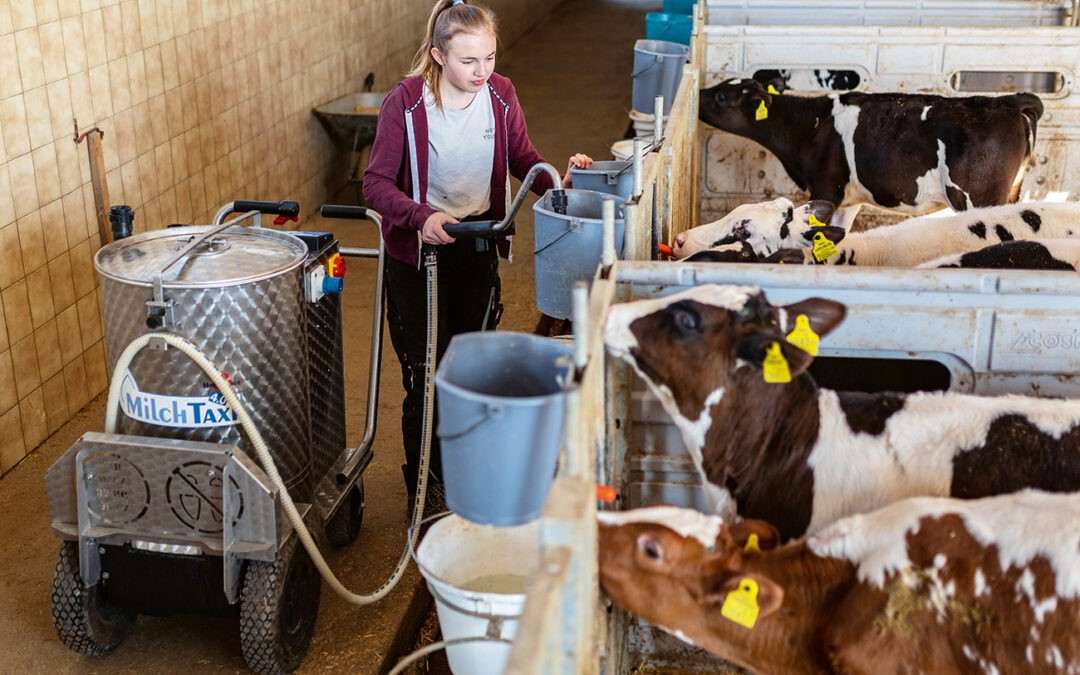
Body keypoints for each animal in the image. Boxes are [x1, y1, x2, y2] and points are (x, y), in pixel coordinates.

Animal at [699, 78, 1045, 228]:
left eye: (720, 96)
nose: (699, 93)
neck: (810, 125)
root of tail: (1008, 101)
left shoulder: (825, 188)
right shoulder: (847, 200)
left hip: (978, 198)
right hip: (1011, 192)